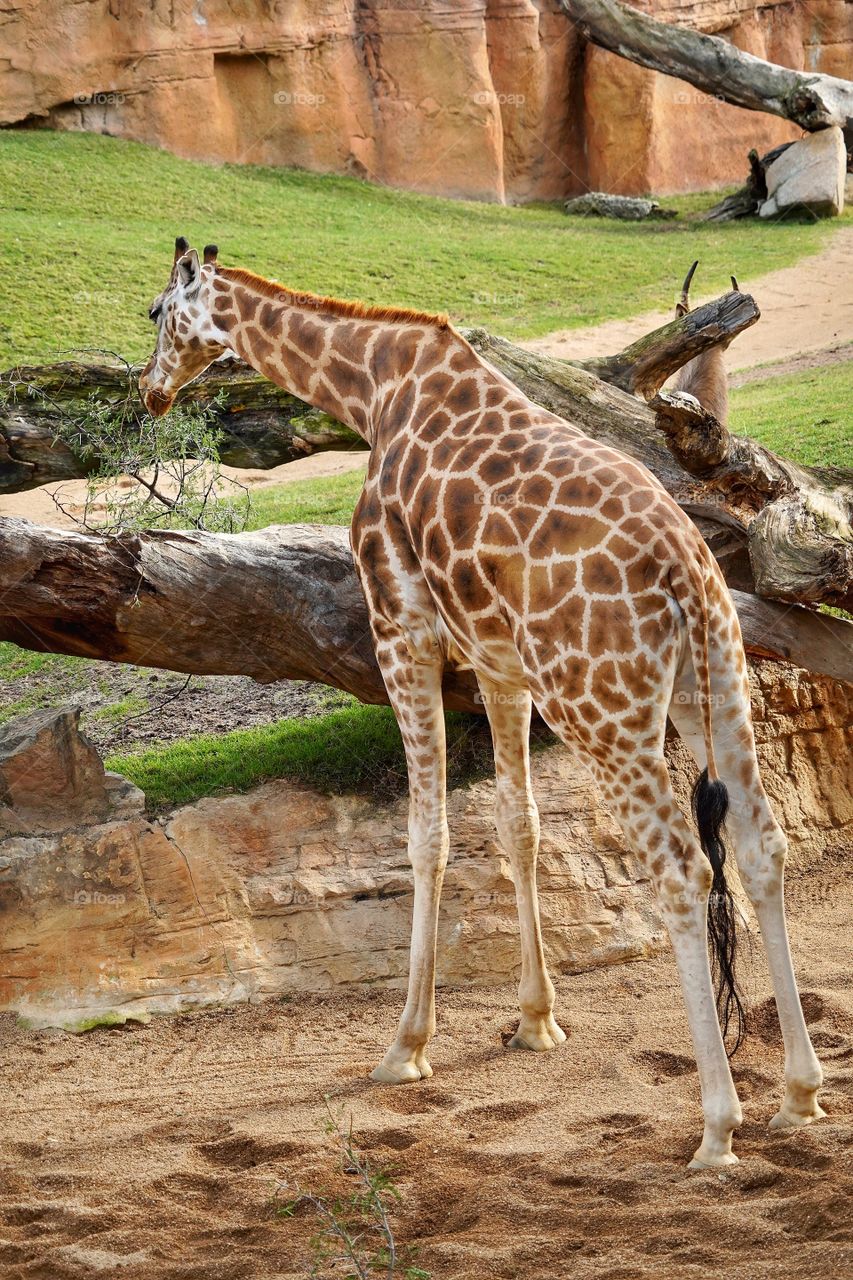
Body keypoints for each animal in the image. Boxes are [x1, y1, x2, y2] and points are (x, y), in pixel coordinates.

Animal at [140, 238, 824, 1168]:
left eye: (154, 313)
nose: (150, 389)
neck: (370, 388)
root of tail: (687, 571)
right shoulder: (498, 659)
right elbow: (517, 823)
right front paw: (535, 1021)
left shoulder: (400, 625)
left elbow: (426, 835)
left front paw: (405, 1046)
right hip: (712, 686)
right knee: (759, 846)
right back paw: (799, 1093)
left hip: (601, 709)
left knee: (682, 869)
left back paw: (718, 1126)